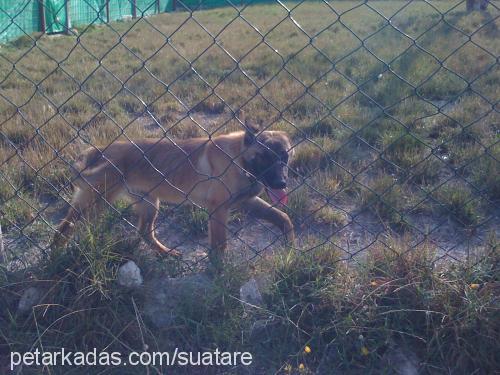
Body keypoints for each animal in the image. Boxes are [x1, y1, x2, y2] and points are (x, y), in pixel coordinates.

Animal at [53, 122, 296, 268]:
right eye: (264, 156)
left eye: (284, 157)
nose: (281, 183)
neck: (239, 160)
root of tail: (101, 150)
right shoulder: (218, 210)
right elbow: (220, 245)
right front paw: (218, 272)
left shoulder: (247, 202)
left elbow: (283, 218)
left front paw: (290, 245)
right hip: (95, 203)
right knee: (65, 228)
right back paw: (57, 255)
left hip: (149, 204)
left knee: (145, 232)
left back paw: (165, 253)